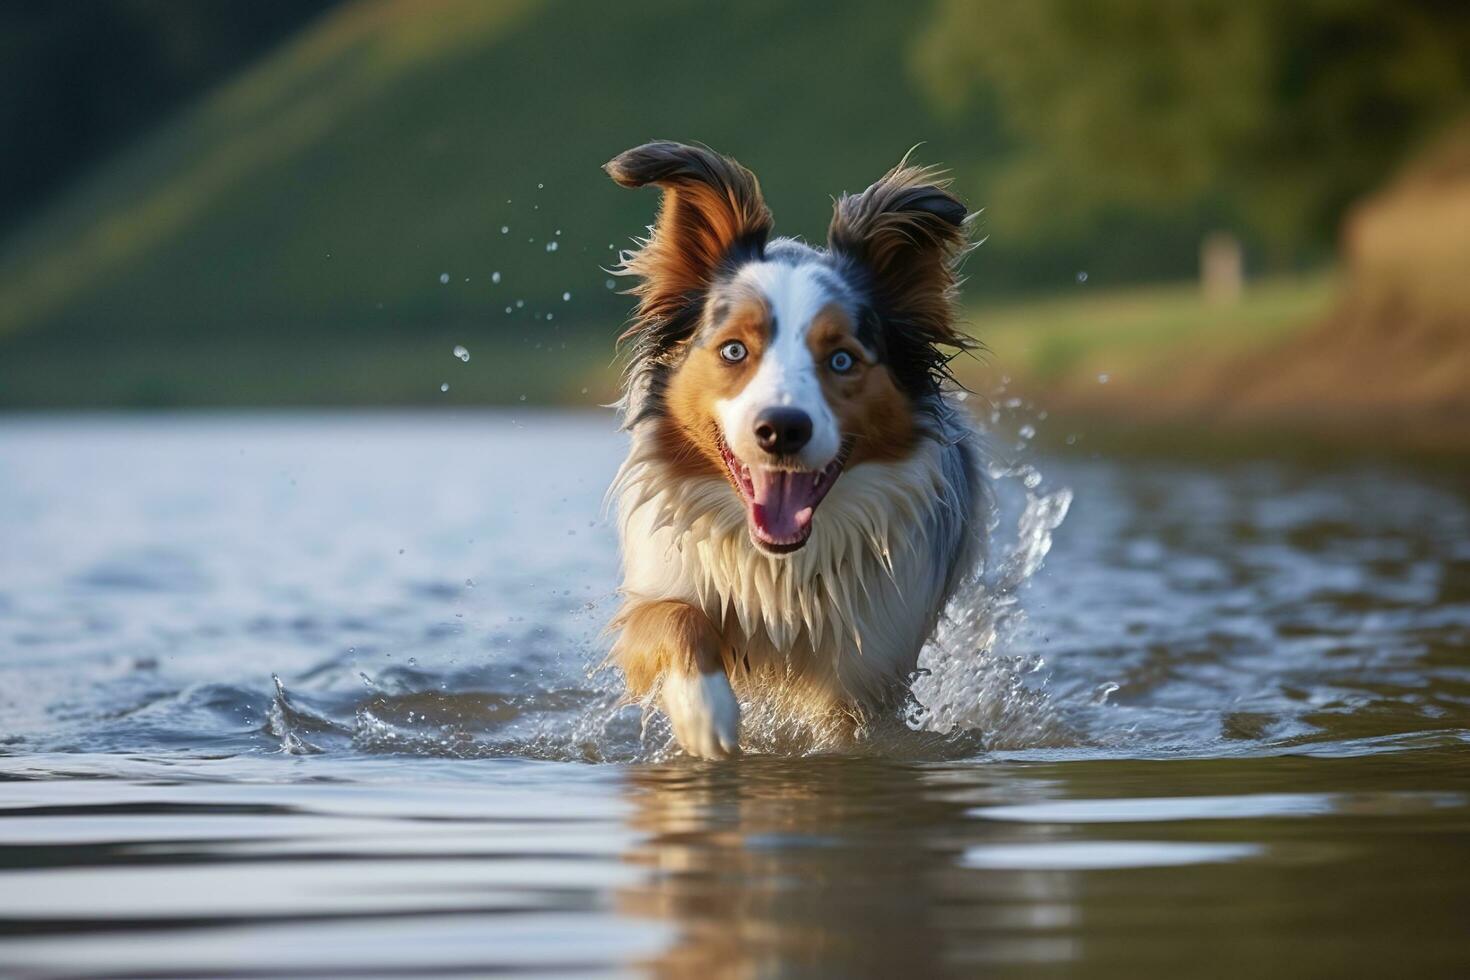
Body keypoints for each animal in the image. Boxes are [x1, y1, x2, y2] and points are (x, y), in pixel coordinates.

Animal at [596, 141, 987, 764]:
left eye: (843, 359)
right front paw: (705, 713)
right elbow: (673, 620)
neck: (778, 572)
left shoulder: (871, 663)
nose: (781, 429)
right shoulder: (661, 583)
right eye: (734, 350)